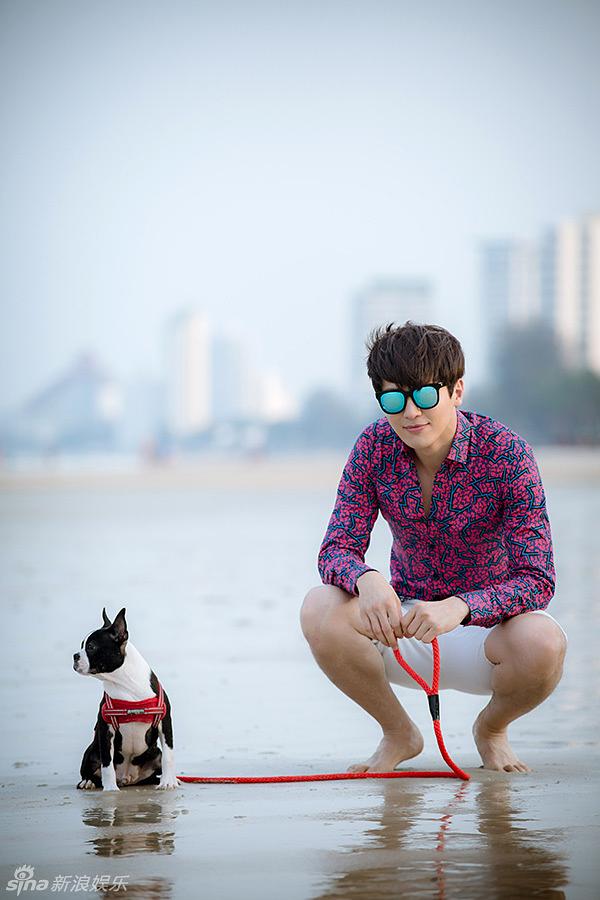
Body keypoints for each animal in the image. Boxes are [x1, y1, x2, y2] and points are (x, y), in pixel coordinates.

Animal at [73, 607, 179, 791]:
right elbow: (107, 763)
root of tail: (128, 779)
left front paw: (168, 781)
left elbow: (168, 755)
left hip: (154, 753)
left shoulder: (165, 722)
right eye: (81, 646)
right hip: (91, 752)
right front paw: (110, 789)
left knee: (154, 772)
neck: (124, 682)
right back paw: (88, 782)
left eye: (91, 647)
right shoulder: (105, 729)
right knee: (92, 770)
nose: (75, 656)